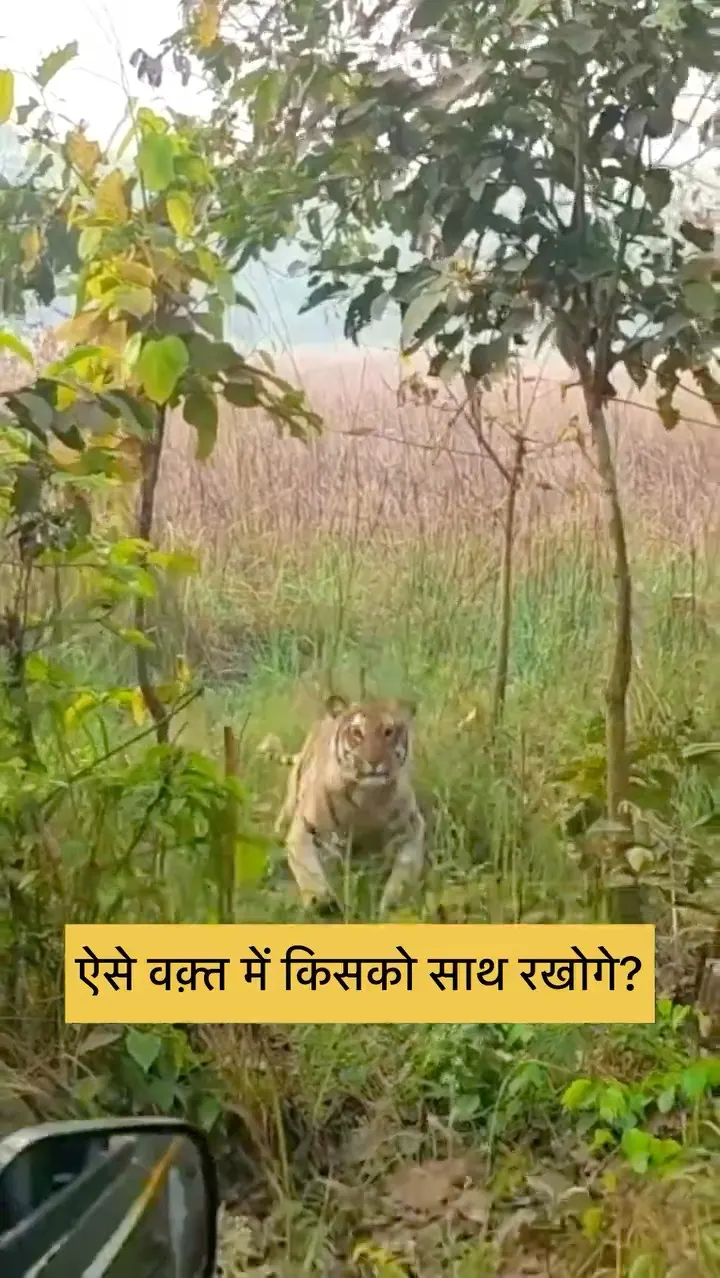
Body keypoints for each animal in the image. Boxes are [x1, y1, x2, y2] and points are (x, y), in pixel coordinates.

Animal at [273, 694, 425, 915]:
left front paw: (392, 904)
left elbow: (404, 872)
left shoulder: (412, 831)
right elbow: (309, 871)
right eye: (357, 733)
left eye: (388, 732)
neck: (366, 798)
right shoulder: (304, 831)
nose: (373, 762)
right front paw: (321, 901)